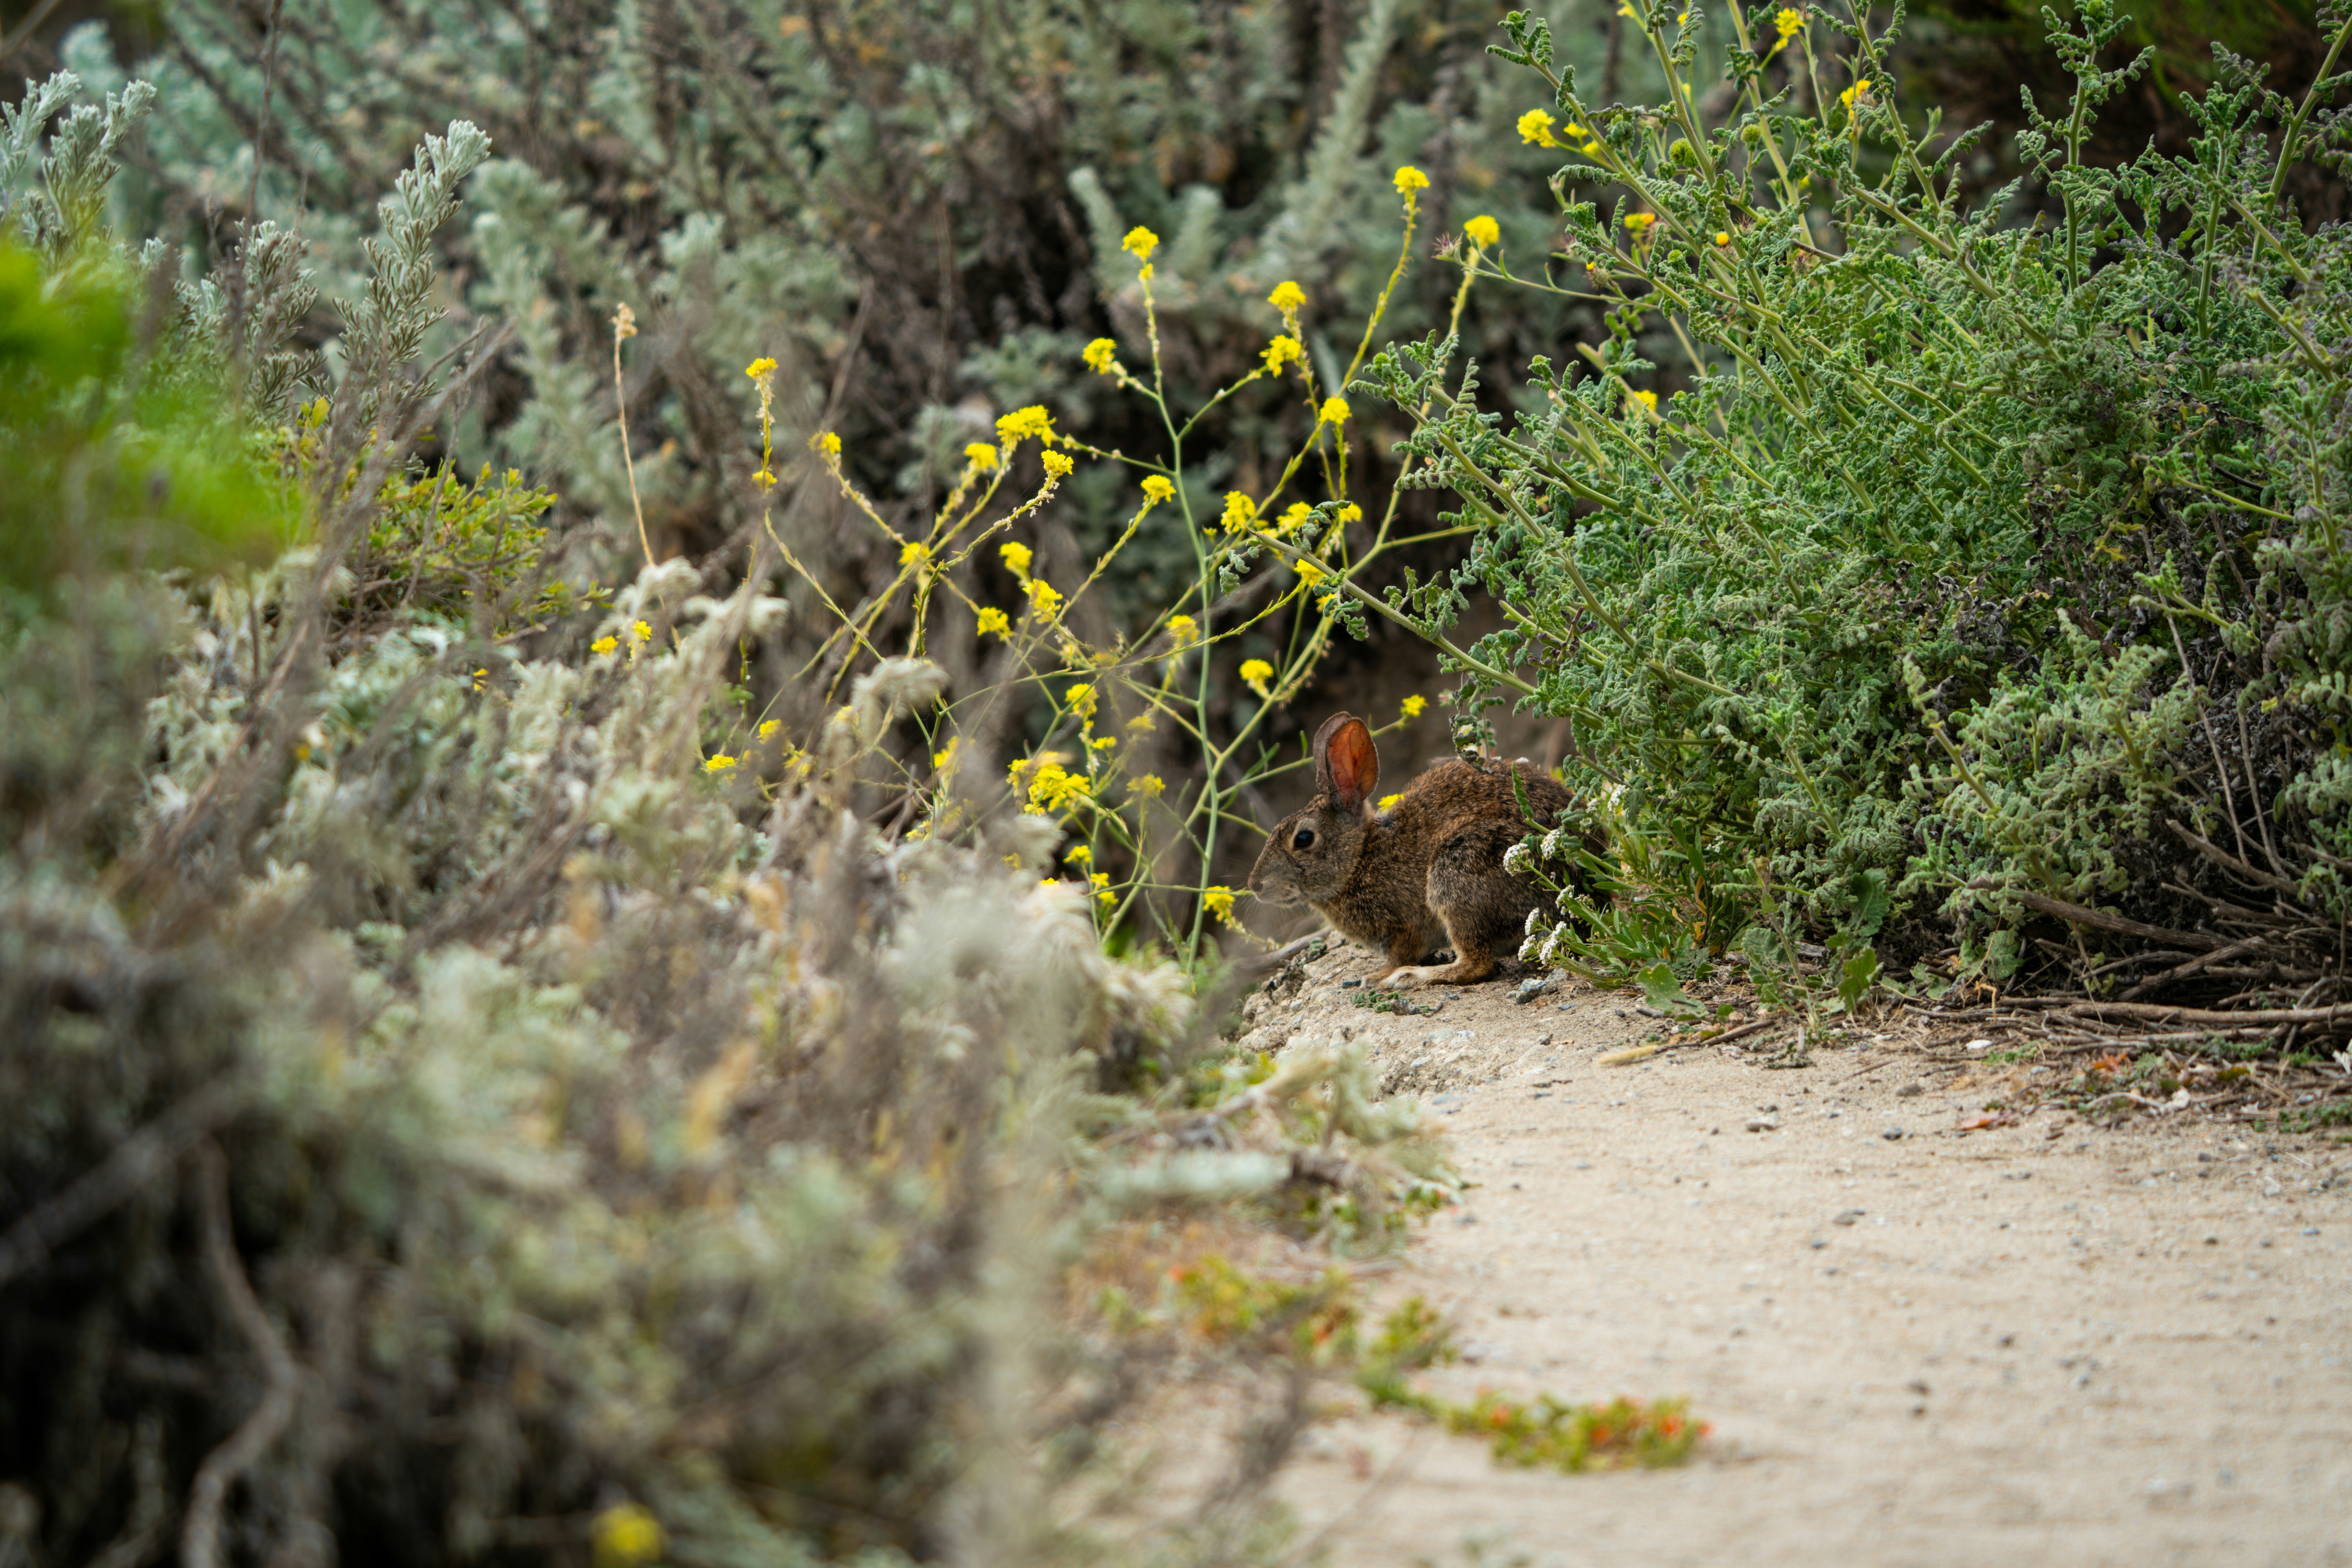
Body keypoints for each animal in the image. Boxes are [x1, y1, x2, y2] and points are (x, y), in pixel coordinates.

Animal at [1247, 711, 1576, 989]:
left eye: (1303, 839)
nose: (1255, 886)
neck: (1359, 861)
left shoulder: (1407, 926)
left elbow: (1401, 953)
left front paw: (1379, 976)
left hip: (1457, 873)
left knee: (1478, 965)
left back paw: (1410, 977)